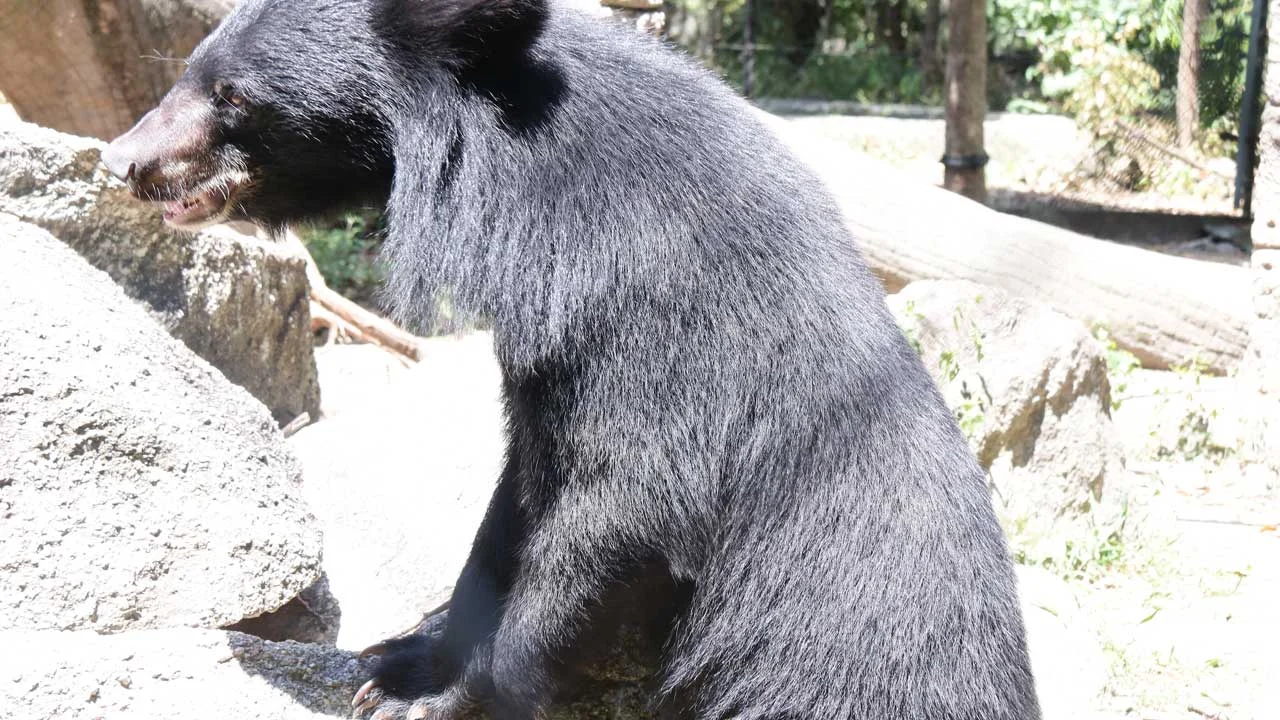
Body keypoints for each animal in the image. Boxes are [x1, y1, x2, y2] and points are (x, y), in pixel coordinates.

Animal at [102, 0, 1042, 718]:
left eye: (232, 95)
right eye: (192, 68)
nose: (123, 161)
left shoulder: (637, 302)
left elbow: (623, 499)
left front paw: (442, 695)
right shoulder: (547, 343)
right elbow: (519, 493)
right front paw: (397, 659)